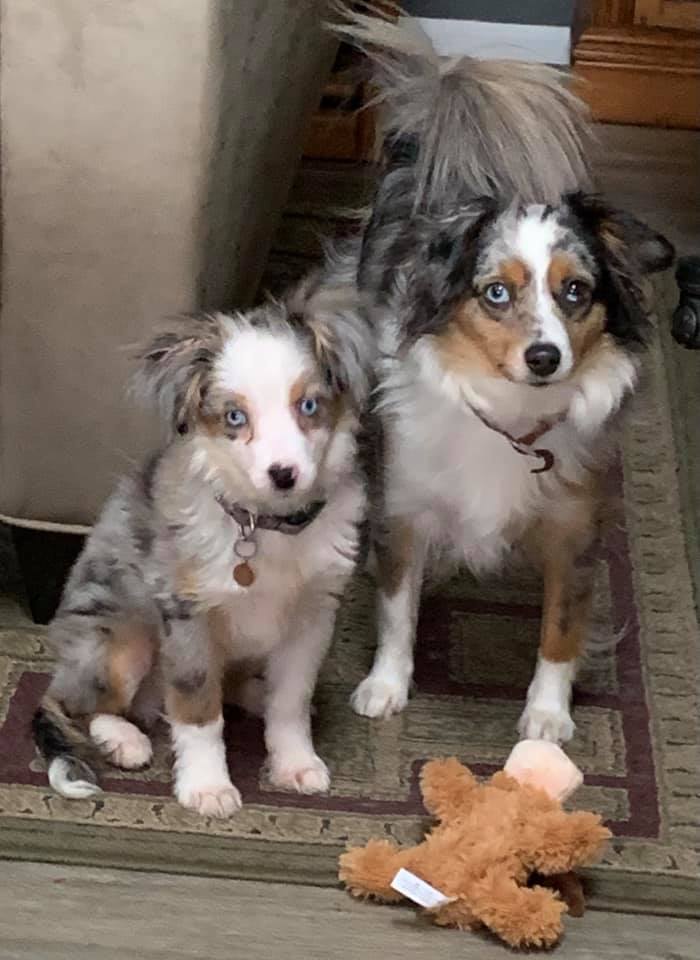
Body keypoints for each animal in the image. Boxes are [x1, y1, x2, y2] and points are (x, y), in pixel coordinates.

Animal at [34, 280, 372, 816]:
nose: (283, 474)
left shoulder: (313, 615)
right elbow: (198, 714)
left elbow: (291, 701)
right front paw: (207, 786)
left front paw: (295, 763)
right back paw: (123, 740)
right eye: (235, 417)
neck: (266, 526)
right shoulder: (187, 613)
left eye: (309, 406)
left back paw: (252, 692)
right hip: (121, 639)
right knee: (79, 705)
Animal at [330, 9, 676, 744]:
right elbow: (397, 606)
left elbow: (561, 631)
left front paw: (546, 716)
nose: (545, 357)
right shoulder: (405, 504)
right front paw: (386, 685)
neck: (510, 415)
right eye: (495, 293)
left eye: (576, 292)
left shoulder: (575, 533)